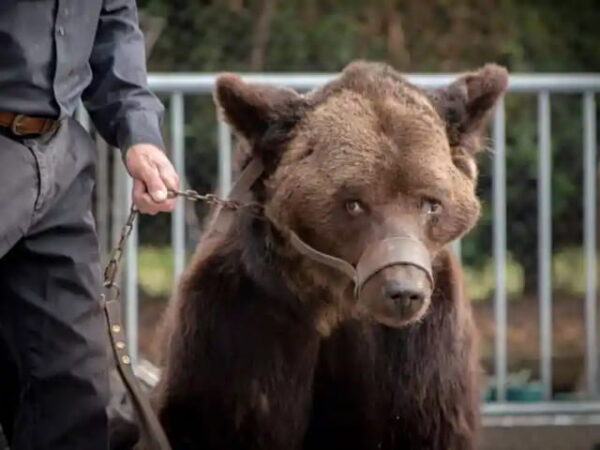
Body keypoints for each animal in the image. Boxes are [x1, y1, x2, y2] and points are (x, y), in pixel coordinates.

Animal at [150, 60, 506, 450]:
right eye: (354, 203)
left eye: (431, 203)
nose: (403, 291)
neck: (333, 304)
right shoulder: (241, 323)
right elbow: (223, 418)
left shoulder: (419, 352)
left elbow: (421, 422)